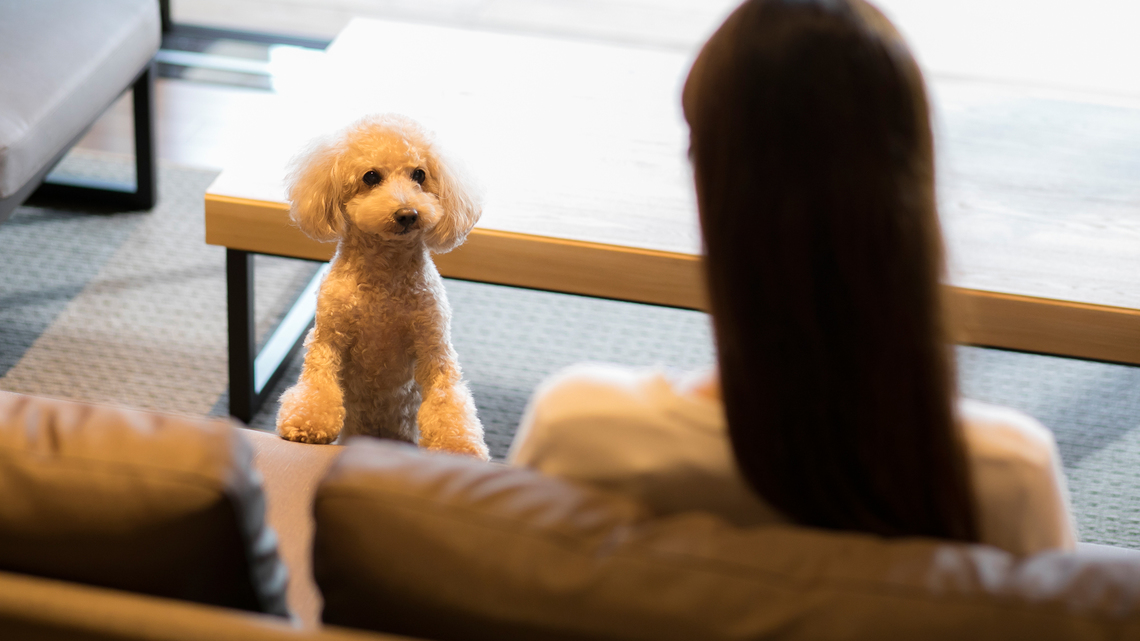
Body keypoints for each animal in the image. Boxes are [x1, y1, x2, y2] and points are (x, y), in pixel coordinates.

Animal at [279, 112, 490, 456]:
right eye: (370, 177)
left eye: (419, 174)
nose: (408, 214)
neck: (383, 277)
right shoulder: (328, 337)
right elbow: (318, 380)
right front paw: (307, 424)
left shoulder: (434, 347)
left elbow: (447, 398)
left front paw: (457, 446)